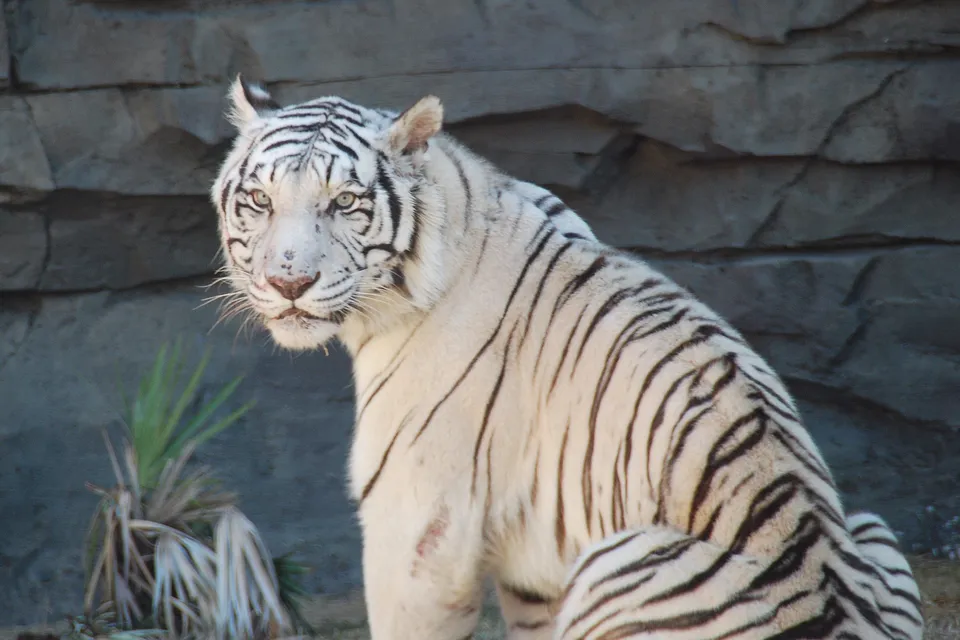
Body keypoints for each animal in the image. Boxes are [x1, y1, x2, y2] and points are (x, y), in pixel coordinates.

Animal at [210, 75, 923, 640]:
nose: (288, 282)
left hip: (618, 558)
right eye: (260, 201)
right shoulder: (537, 568)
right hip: (871, 527)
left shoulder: (421, 527)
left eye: (345, 204)